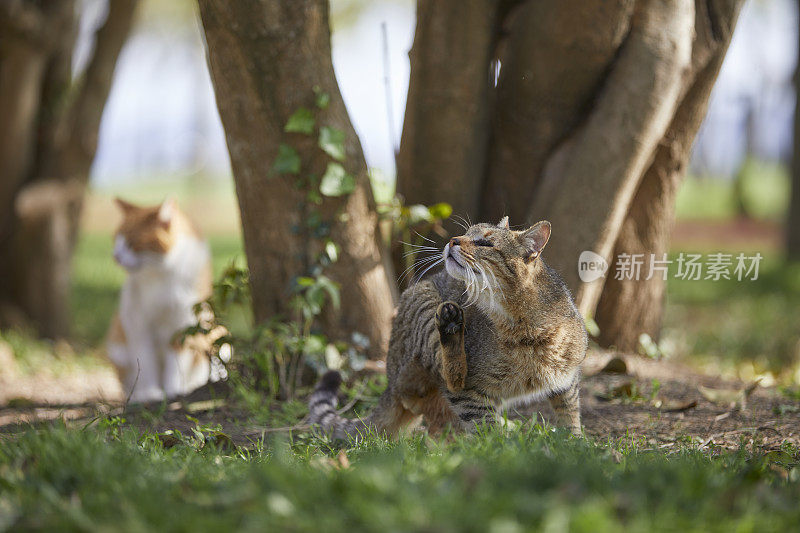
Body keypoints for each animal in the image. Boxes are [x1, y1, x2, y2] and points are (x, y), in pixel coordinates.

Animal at [106, 197, 212, 402]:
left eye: (132, 242)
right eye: (116, 240)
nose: (116, 257)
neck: (159, 276)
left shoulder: (182, 326)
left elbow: (175, 366)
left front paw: (172, 391)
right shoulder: (138, 324)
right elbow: (146, 361)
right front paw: (150, 393)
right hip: (118, 347)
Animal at [310, 216, 584, 436]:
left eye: (485, 243)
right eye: (466, 233)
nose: (453, 240)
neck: (524, 326)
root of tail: (388, 384)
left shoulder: (568, 377)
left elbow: (569, 412)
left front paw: (574, 443)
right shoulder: (469, 393)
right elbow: (485, 428)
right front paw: (502, 450)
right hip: (425, 304)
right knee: (450, 375)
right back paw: (451, 328)